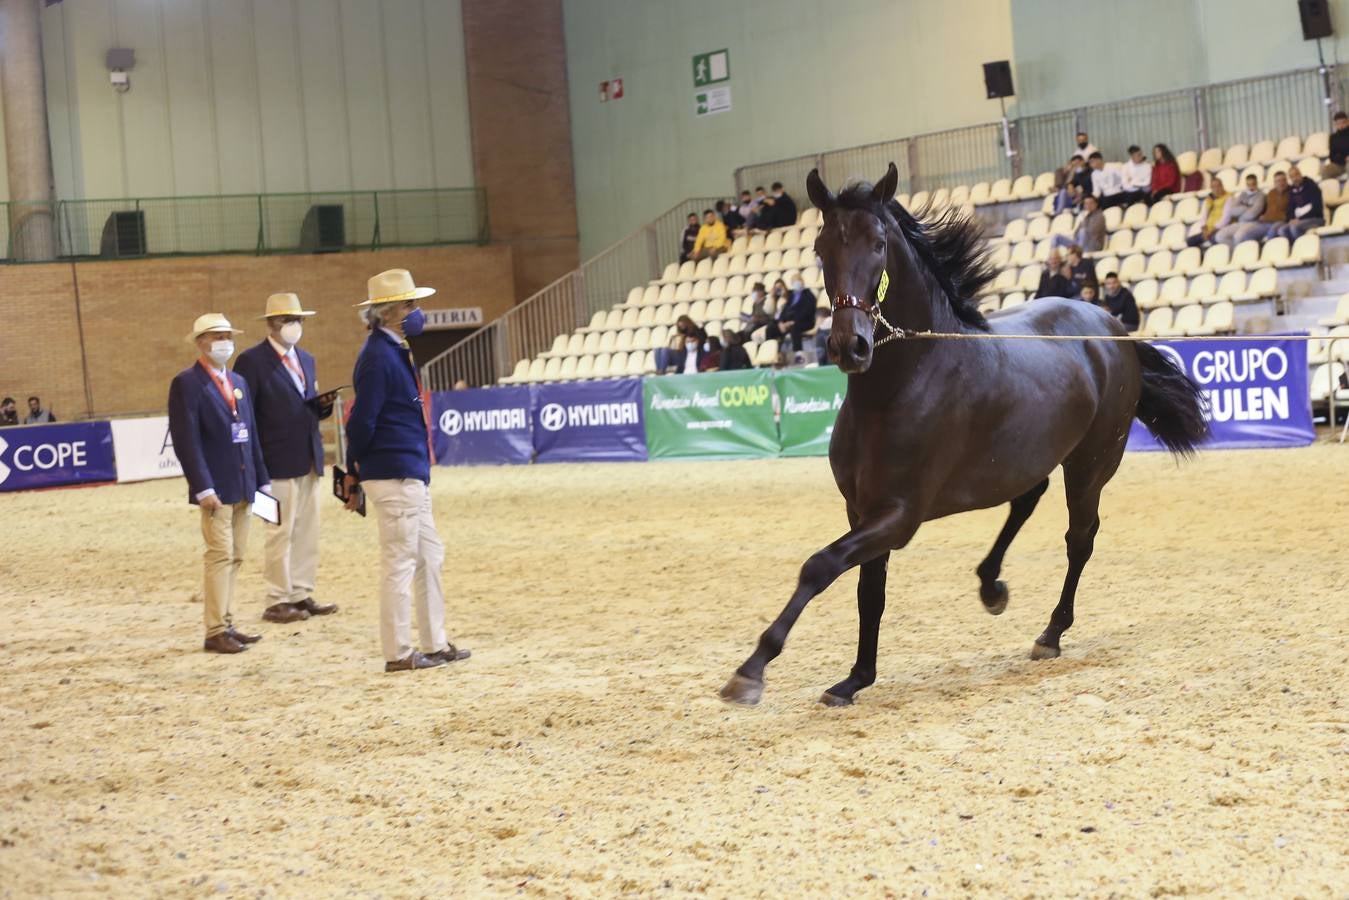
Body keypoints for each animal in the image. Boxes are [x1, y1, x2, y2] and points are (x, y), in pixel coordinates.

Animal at [723, 165, 1208, 707]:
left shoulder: (900, 515)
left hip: (1090, 464)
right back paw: (990, 585)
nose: (851, 347)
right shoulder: (862, 510)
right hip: (1029, 456)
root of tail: (1111, 326)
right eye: (821, 247)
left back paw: (1050, 634)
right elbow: (870, 593)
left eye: (878, 244)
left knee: (1079, 539)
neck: (898, 388)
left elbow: (820, 565)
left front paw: (750, 672)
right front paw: (854, 680)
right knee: (1027, 499)